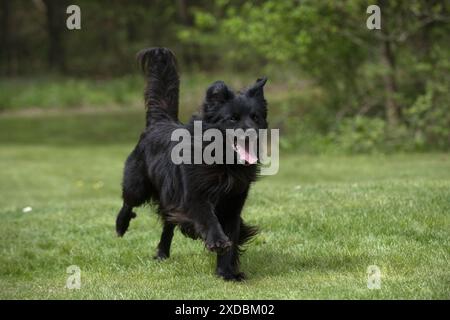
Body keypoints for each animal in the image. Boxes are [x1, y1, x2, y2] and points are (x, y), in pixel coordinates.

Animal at [116, 47, 268, 280]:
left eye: (256, 117)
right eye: (233, 119)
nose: (253, 134)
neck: (224, 163)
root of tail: (159, 121)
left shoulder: (234, 203)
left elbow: (232, 235)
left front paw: (227, 273)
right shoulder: (193, 196)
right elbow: (208, 217)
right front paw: (217, 241)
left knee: (167, 224)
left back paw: (162, 253)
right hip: (138, 183)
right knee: (129, 201)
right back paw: (121, 225)